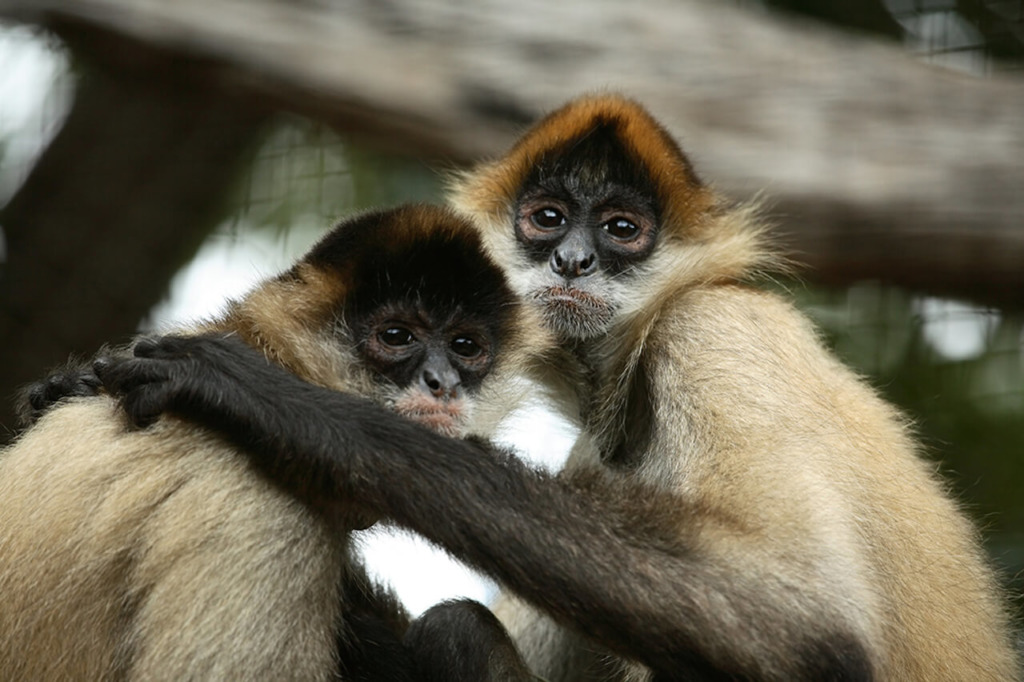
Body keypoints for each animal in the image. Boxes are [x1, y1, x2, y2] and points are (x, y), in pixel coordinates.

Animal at [83, 96, 1019, 679]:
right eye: (547, 219)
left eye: (621, 230)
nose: (572, 260)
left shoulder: (715, 328)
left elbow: (810, 631)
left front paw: (291, 414)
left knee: (458, 631)